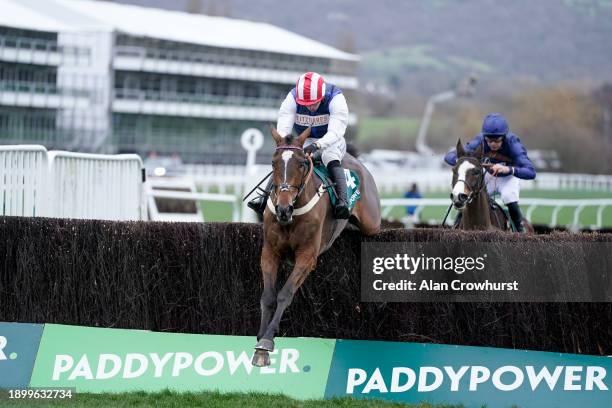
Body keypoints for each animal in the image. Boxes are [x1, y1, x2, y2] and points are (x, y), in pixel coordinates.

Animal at [252, 126, 378, 364]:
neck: (292, 214)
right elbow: (268, 296)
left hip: (372, 222)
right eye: (273, 163)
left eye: (302, 163)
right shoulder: (270, 252)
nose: (283, 209)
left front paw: (267, 340)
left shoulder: (307, 256)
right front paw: (259, 347)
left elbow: (285, 294)